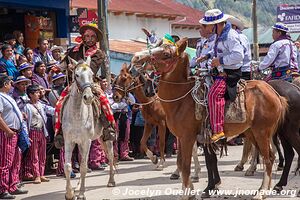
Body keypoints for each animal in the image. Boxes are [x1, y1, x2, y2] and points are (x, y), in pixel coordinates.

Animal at [61, 57, 115, 199]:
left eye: (91, 75)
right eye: (76, 75)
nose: (88, 97)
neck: (76, 115)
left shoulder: (87, 141)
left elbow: (84, 167)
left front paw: (81, 194)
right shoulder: (69, 141)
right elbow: (68, 166)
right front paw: (69, 193)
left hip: (106, 138)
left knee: (111, 156)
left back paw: (111, 181)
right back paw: (78, 186)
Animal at [131, 38, 288, 199]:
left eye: (166, 54)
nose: (136, 57)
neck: (182, 98)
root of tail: (275, 94)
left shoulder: (187, 137)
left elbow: (186, 165)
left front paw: (187, 193)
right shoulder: (181, 137)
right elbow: (181, 163)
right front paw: (190, 190)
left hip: (262, 132)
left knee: (268, 159)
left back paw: (262, 192)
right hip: (252, 133)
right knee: (268, 155)